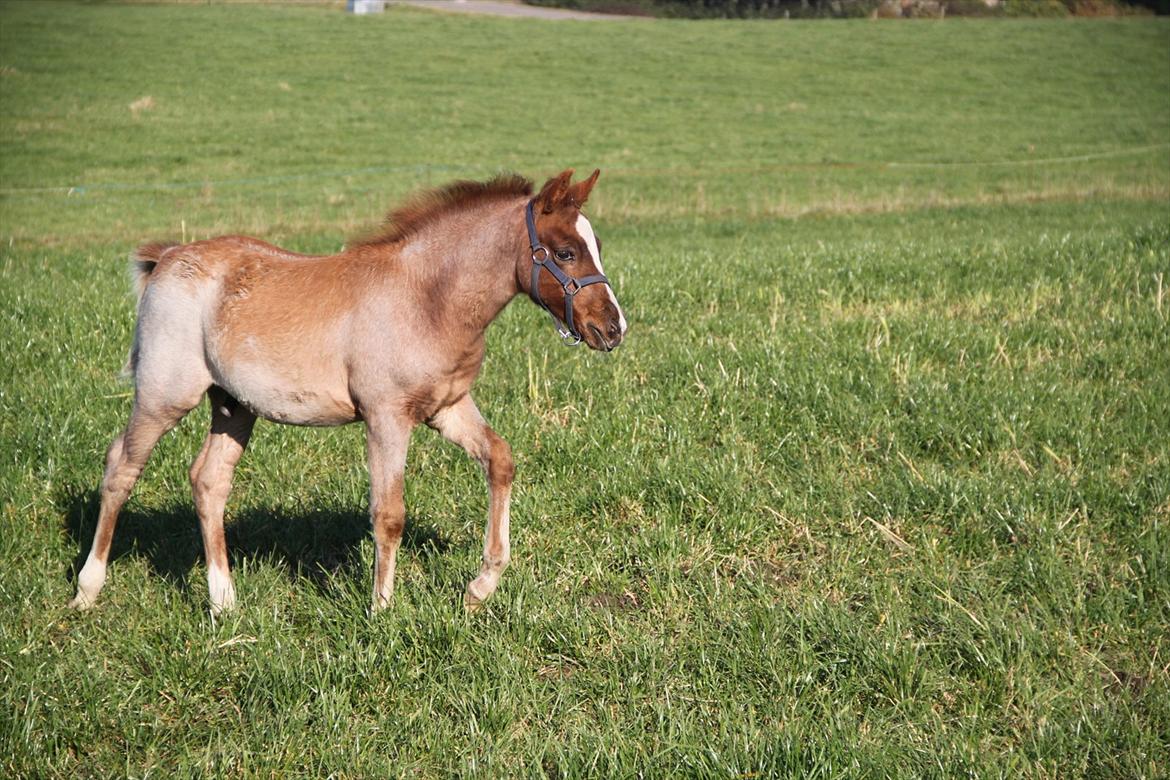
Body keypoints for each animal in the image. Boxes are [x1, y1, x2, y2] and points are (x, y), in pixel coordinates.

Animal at [69, 170, 627, 617]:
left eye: (596, 245)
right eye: (565, 252)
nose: (613, 328)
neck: (426, 298)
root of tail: (166, 258)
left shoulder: (446, 408)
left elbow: (500, 460)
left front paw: (480, 587)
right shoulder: (386, 418)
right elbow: (389, 513)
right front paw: (381, 610)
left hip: (233, 406)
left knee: (209, 481)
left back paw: (224, 603)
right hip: (163, 396)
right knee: (121, 468)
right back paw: (87, 590)